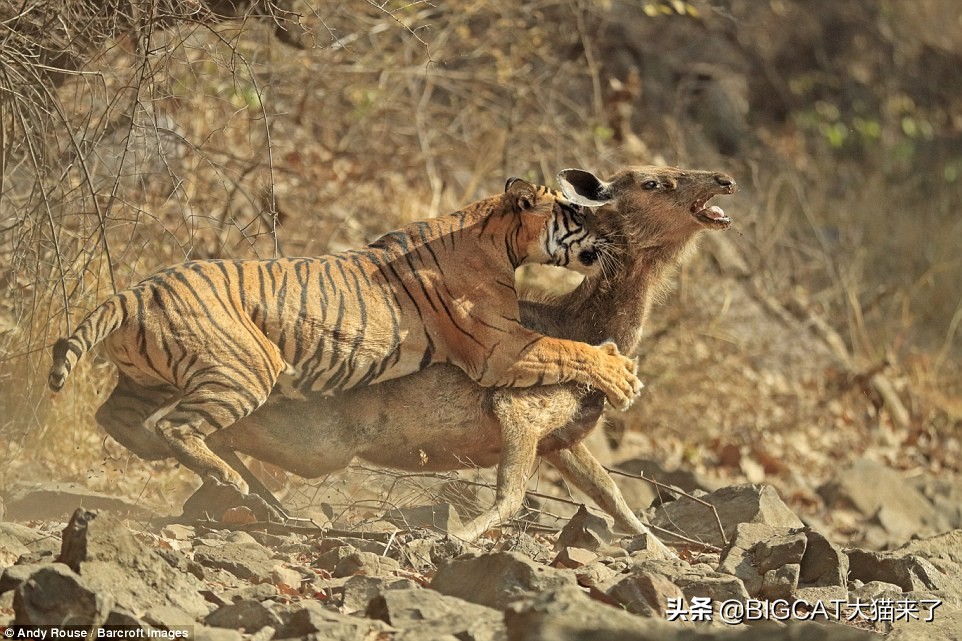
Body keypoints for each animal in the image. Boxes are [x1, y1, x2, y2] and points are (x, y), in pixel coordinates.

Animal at [48, 178, 640, 492]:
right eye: (578, 214)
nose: (618, 237)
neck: (499, 238)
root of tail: (136, 290)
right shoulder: (502, 348)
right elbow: (571, 349)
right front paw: (623, 376)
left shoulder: (507, 345)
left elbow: (569, 349)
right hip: (247, 368)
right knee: (177, 426)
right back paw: (227, 479)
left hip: (147, 378)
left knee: (116, 417)